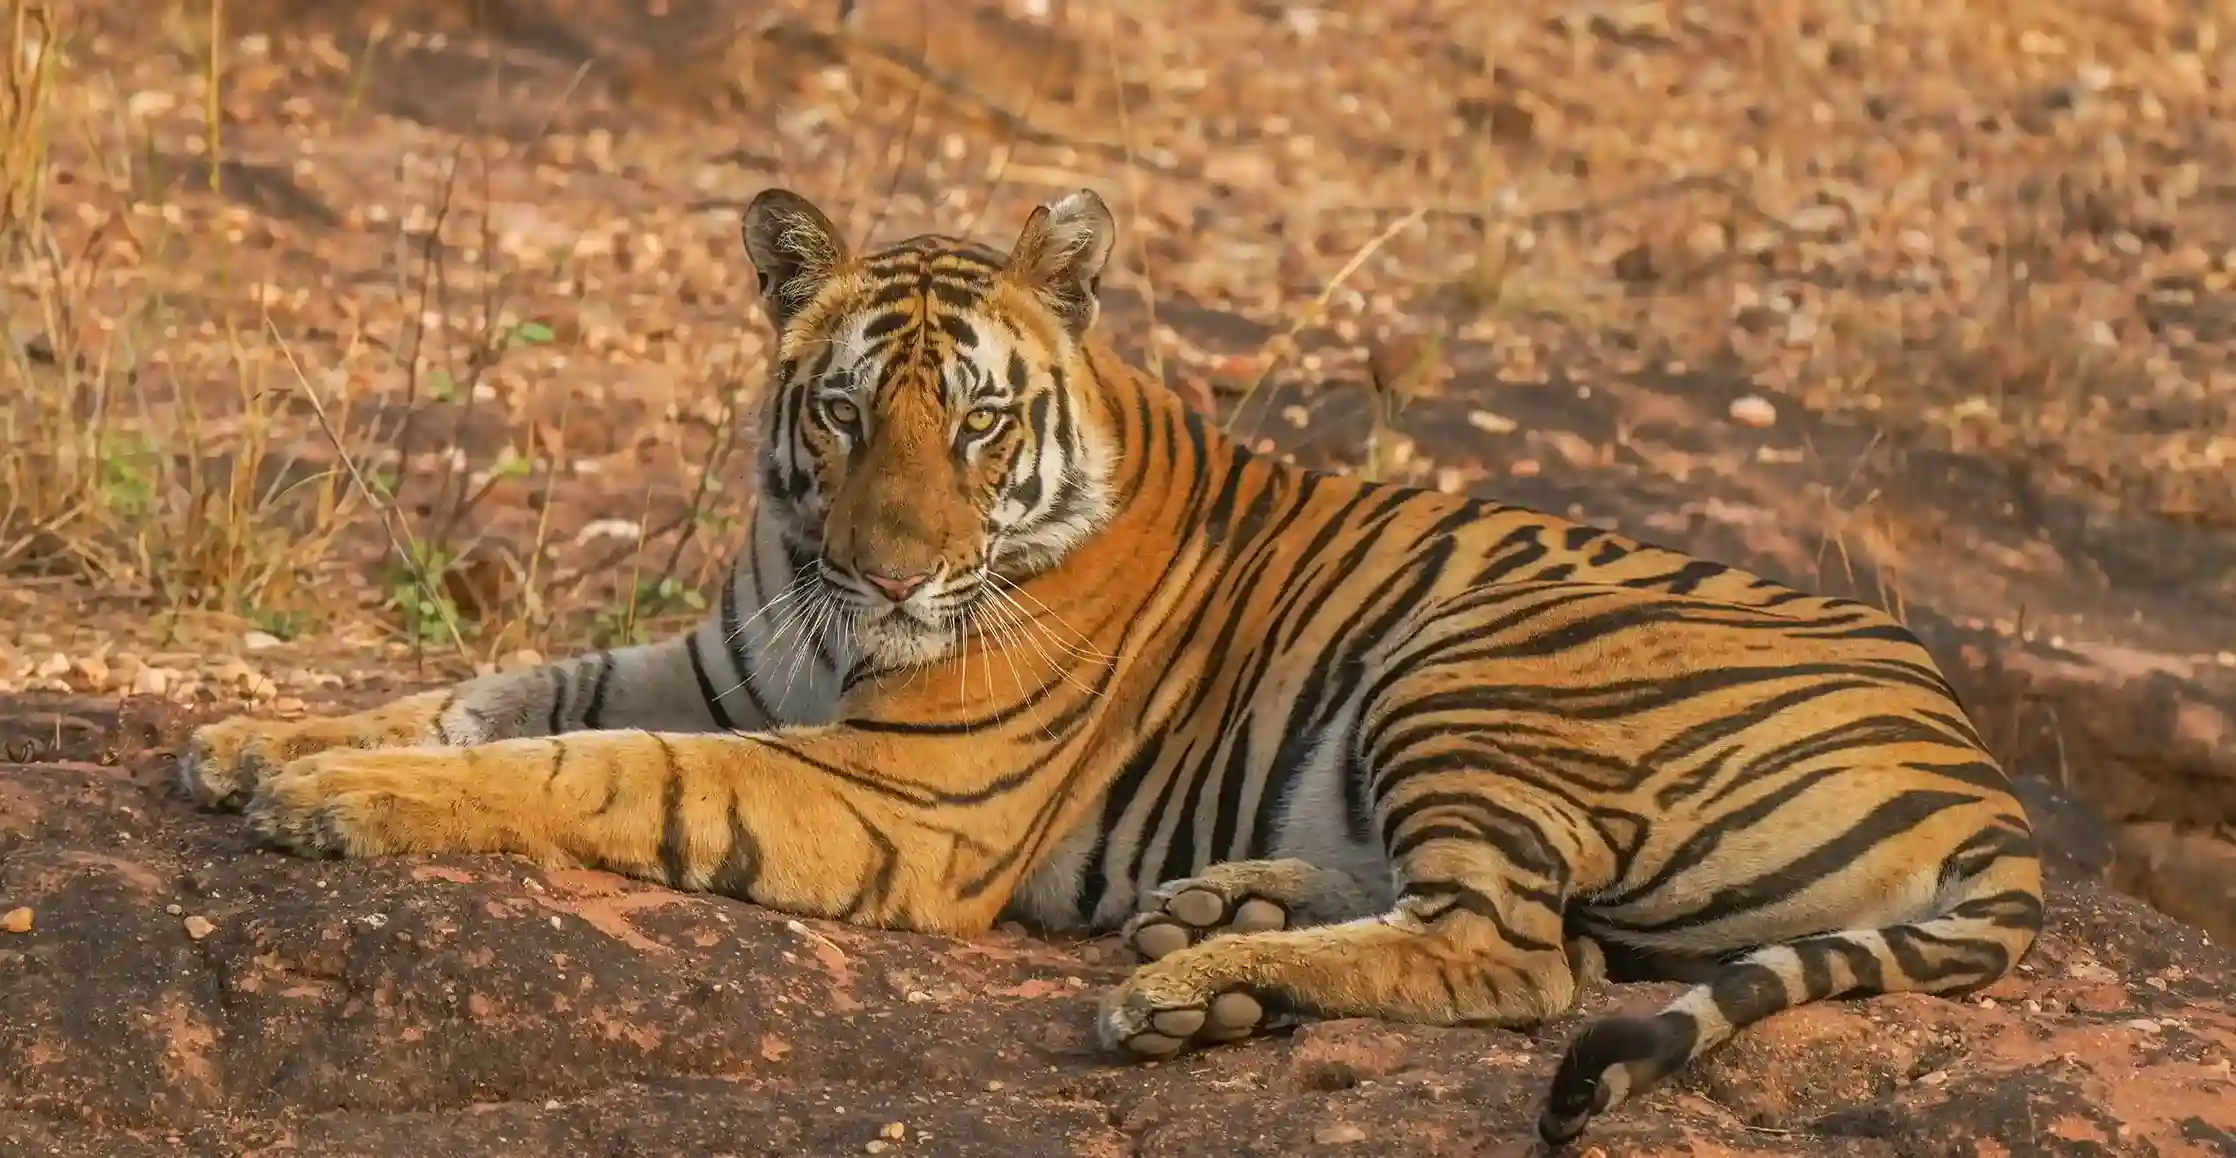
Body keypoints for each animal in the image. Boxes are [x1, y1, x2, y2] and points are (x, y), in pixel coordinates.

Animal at [178, 186, 2048, 1144]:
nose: (892, 568)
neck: (819, 599)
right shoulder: (725, 666)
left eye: (976, 418)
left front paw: (333, 794)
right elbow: (509, 689)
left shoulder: (897, 791)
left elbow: (587, 764)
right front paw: (258, 734)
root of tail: (1987, 776)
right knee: (1537, 931)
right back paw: (1212, 930)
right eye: (842, 409)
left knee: (1519, 958)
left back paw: (1182, 982)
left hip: (1477, 660)